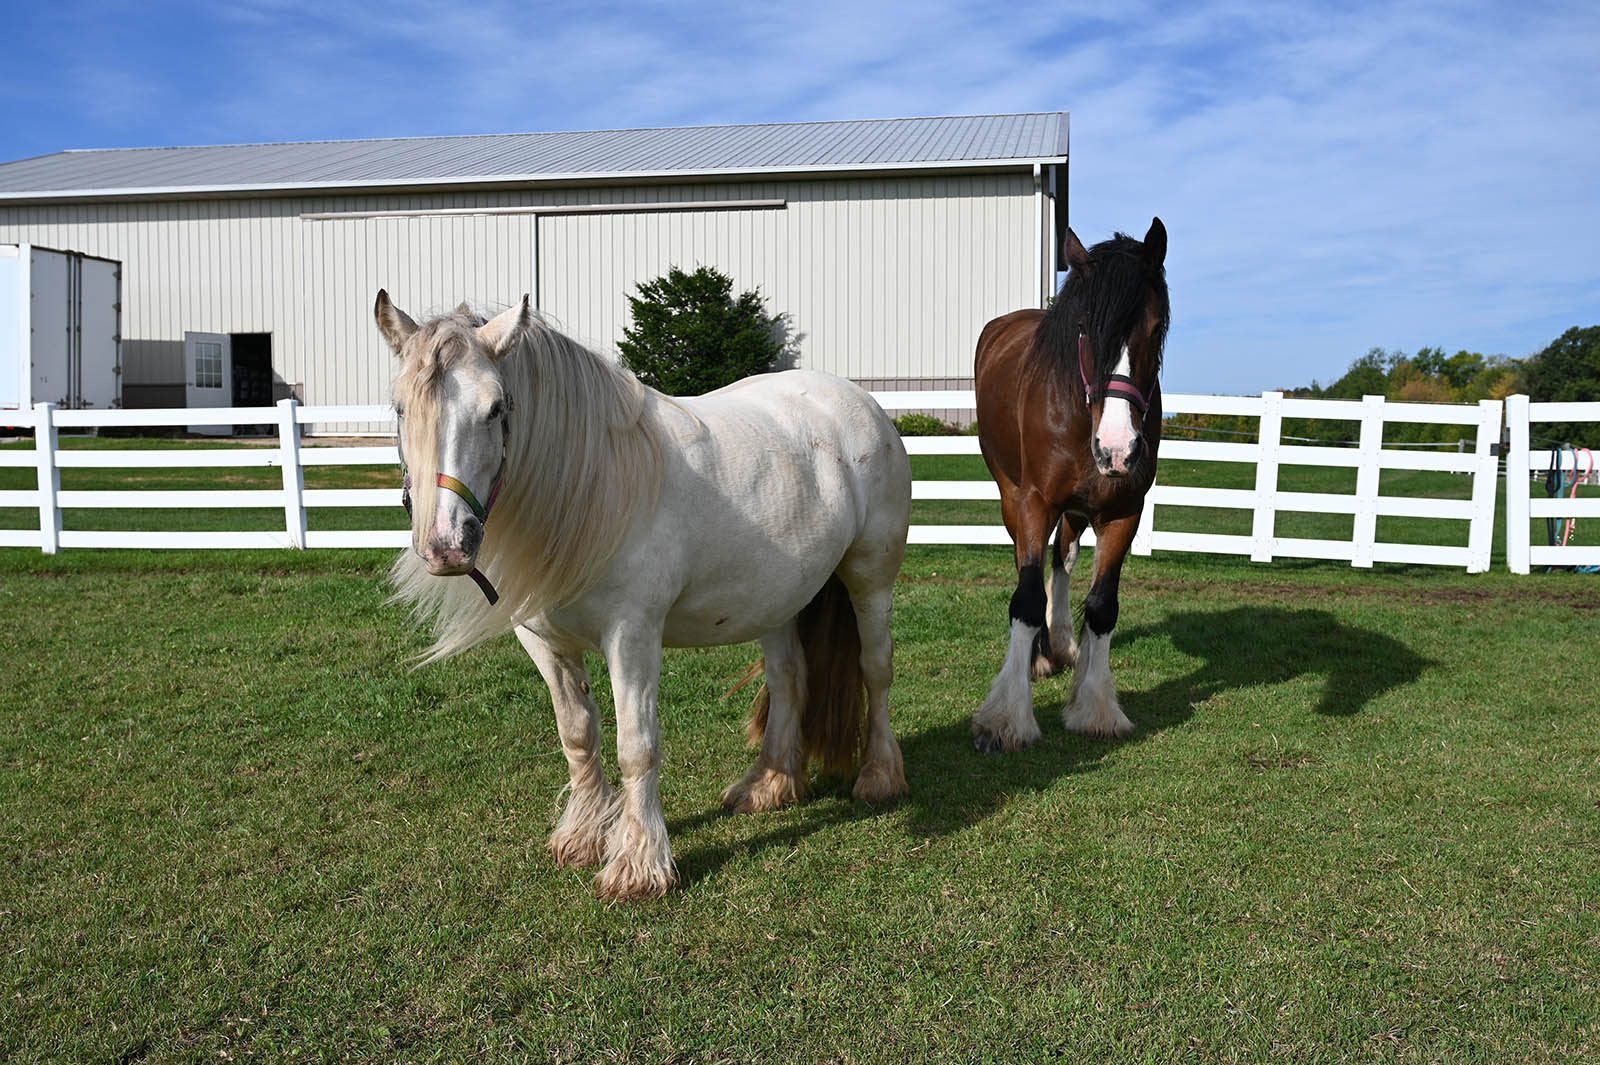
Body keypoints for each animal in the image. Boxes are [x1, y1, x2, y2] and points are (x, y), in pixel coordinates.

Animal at [368, 287, 908, 895]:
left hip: (871, 579)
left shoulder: (632, 637)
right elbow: (578, 734)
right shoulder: (543, 641)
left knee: (875, 669)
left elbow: (636, 745)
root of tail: (855, 400)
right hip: (777, 599)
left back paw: (879, 777)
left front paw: (639, 865)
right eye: (399, 408)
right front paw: (581, 839)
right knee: (789, 678)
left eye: (497, 408)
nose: (446, 544)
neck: (591, 488)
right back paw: (768, 785)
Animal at [966, 214, 1171, 745]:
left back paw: (1059, 643)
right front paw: (1007, 718)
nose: (1117, 449)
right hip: (1012, 496)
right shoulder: (1035, 502)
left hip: (1078, 508)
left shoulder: (1123, 512)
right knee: (1030, 558)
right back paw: (1039, 655)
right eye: (1083, 327)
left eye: (1156, 326)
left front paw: (1096, 706)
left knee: (1063, 556)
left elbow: (1101, 607)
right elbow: (1025, 597)